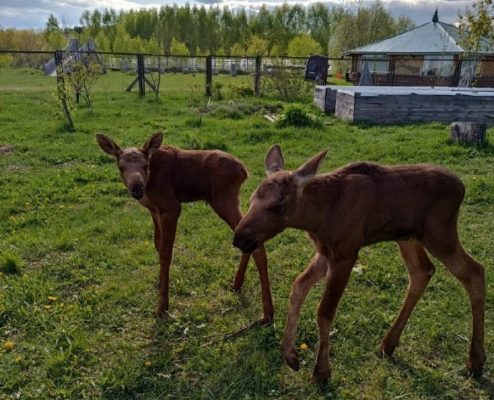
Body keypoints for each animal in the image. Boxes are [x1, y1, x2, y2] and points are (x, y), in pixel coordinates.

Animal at [95, 133, 274, 324]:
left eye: (145, 165)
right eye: (120, 166)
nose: (136, 188)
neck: (149, 185)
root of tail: (244, 171)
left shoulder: (171, 207)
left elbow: (166, 252)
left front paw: (162, 306)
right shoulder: (154, 210)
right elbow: (157, 244)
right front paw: (160, 284)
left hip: (223, 199)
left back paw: (268, 313)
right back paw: (238, 282)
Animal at [233, 145, 484, 384]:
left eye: (278, 206)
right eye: (251, 199)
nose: (239, 239)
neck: (317, 217)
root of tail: (462, 187)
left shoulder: (346, 253)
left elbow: (324, 311)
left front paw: (321, 372)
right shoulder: (325, 252)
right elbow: (298, 288)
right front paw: (290, 354)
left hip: (439, 233)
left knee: (475, 271)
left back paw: (475, 361)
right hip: (408, 237)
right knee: (422, 271)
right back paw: (388, 344)